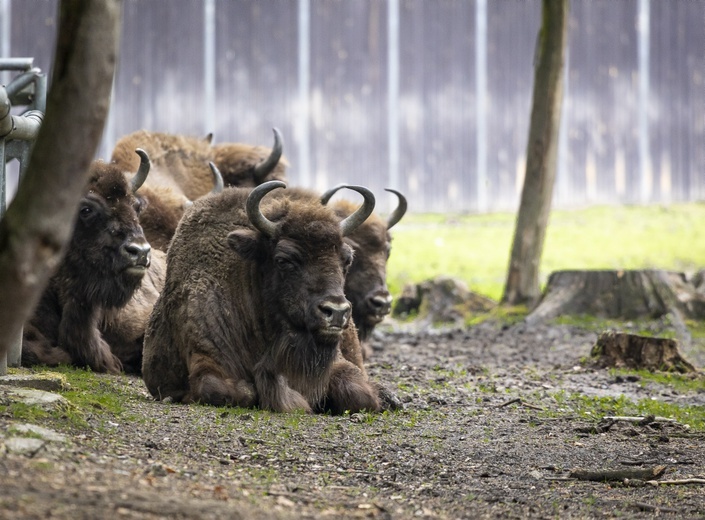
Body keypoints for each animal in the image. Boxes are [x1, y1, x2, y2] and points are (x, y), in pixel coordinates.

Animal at [142, 181, 382, 412]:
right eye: (284, 260)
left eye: (347, 259)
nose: (337, 311)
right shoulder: (206, 353)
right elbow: (223, 389)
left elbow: (359, 393)